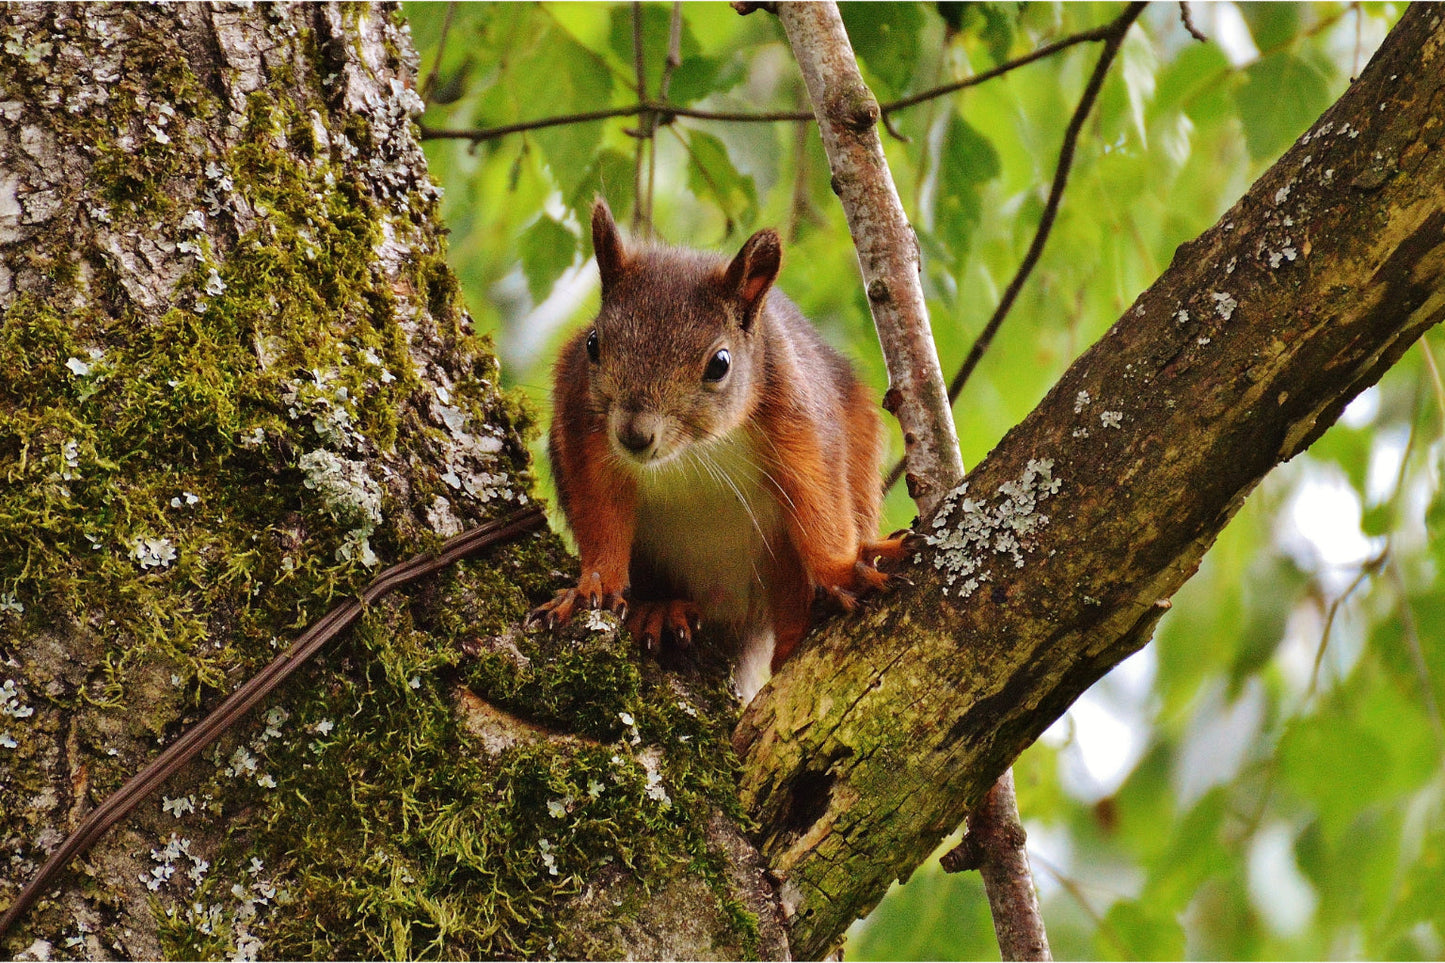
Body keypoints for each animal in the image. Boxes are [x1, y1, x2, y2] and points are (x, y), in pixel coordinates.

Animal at [537, 200, 907, 696]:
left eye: (720, 364)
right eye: (593, 344)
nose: (634, 435)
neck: (694, 450)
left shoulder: (799, 415)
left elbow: (821, 500)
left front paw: (844, 570)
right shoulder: (583, 426)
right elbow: (599, 513)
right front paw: (591, 586)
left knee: (790, 589)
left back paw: (800, 629)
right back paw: (661, 608)